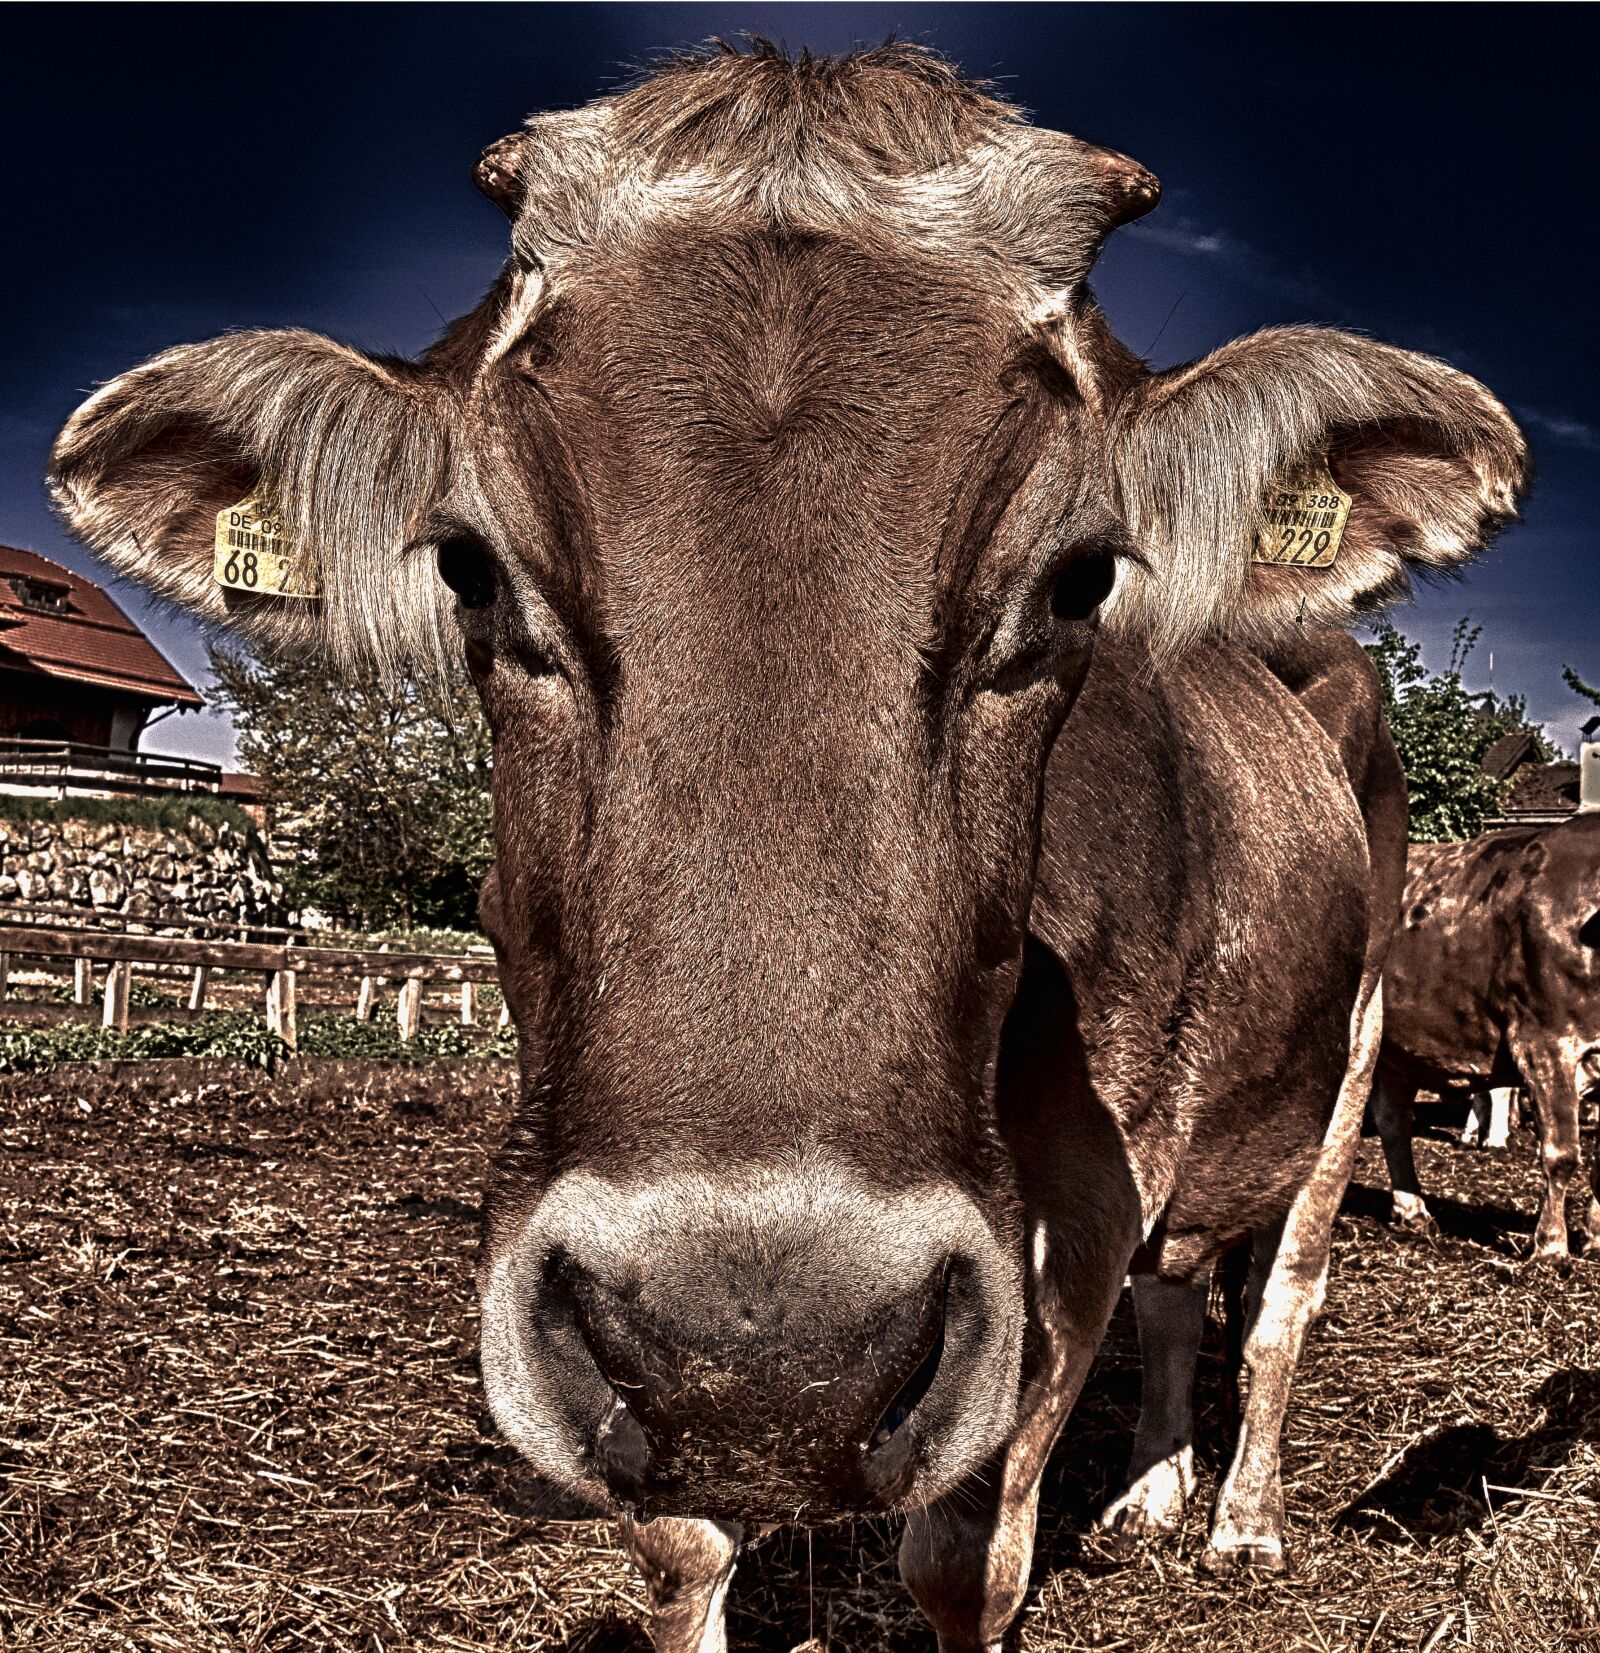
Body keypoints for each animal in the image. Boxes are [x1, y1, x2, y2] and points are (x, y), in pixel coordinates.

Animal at [48, 43, 1526, 1653]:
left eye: (1079, 581)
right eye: (470, 569)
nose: (768, 1345)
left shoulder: (1072, 1217)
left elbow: (968, 1557)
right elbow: (681, 1547)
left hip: (1354, 1047)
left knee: (1280, 1302)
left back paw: (1243, 1519)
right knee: (1185, 1293)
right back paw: (1149, 1494)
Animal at [1372, 814, 1600, 1256]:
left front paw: (1595, 1235)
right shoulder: (1546, 1040)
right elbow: (1561, 1153)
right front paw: (1551, 1246)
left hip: (1394, 1052)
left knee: (1392, 1121)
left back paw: (1412, 1209)